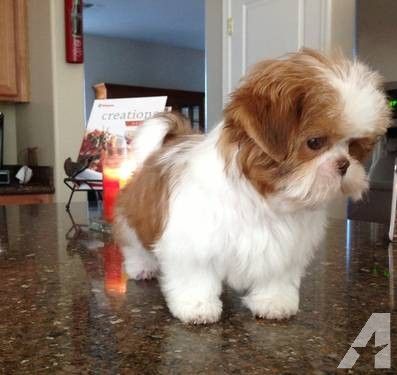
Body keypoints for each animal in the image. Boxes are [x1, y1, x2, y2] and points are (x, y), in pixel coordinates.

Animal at [114, 48, 390, 324]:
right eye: (315, 142)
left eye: (353, 146)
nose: (344, 164)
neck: (265, 199)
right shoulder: (192, 243)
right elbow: (195, 276)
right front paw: (197, 306)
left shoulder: (283, 250)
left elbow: (276, 276)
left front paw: (274, 302)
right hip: (134, 216)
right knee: (133, 242)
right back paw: (142, 266)